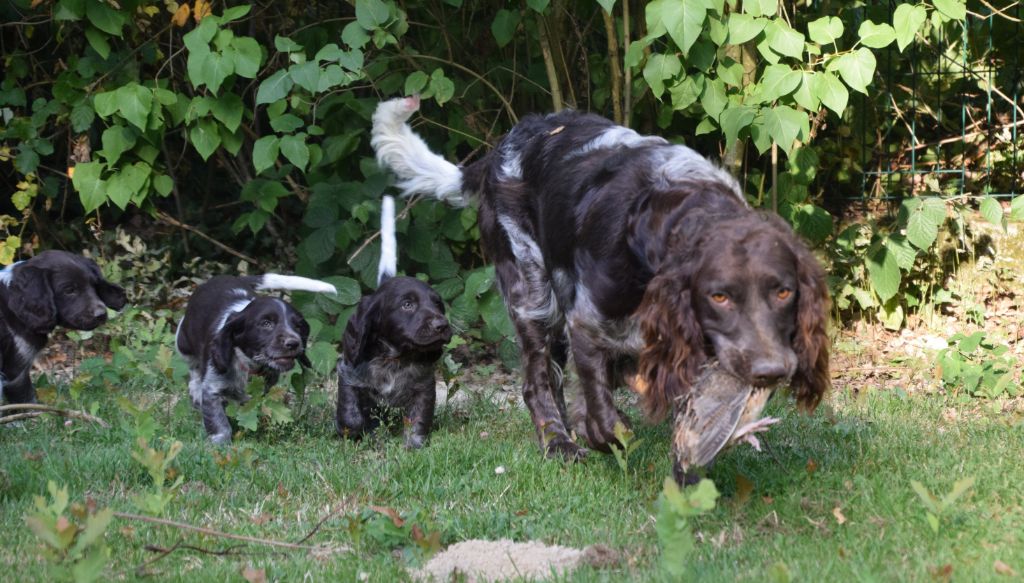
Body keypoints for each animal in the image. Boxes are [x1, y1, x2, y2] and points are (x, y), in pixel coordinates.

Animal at [176, 272, 335, 440]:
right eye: (266, 323)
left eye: (298, 326)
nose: (293, 343)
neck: (249, 365)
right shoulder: (212, 388)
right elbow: (219, 423)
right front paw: (220, 443)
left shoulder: (267, 388)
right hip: (183, 342)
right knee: (193, 370)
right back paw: (196, 391)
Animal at [335, 197, 452, 448]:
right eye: (407, 304)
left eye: (438, 304)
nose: (442, 326)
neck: (395, 358)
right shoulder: (348, 374)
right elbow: (352, 414)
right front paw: (354, 431)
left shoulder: (424, 386)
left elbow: (418, 418)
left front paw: (413, 445)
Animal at [372, 96, 827, 459]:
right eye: (719, 296)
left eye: (784, 292)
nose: (772, 371)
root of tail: (499, 151)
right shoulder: (587, 322)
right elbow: (605, 415)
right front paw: (601, 433)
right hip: (533, 293)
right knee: (537, 383)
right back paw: (558, 442)